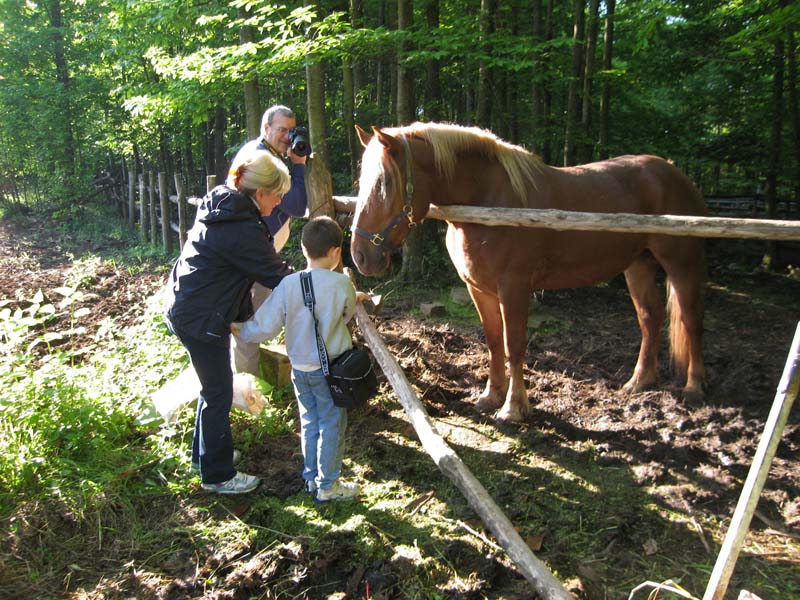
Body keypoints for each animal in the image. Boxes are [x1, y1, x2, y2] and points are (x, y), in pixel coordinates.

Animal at [352, 122, 708, 422]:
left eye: (384, 183)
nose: (360, 255)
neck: (488, 202)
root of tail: (675, 173)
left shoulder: (514, 288)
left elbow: (515, 344)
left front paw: (513, 407)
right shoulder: (478, 288)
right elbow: (494, 341)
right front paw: (490, 397)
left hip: (682, 264)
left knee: (691, 321)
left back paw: (694, 387)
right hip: (638, 265)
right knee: (650, 317)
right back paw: (639, 381)